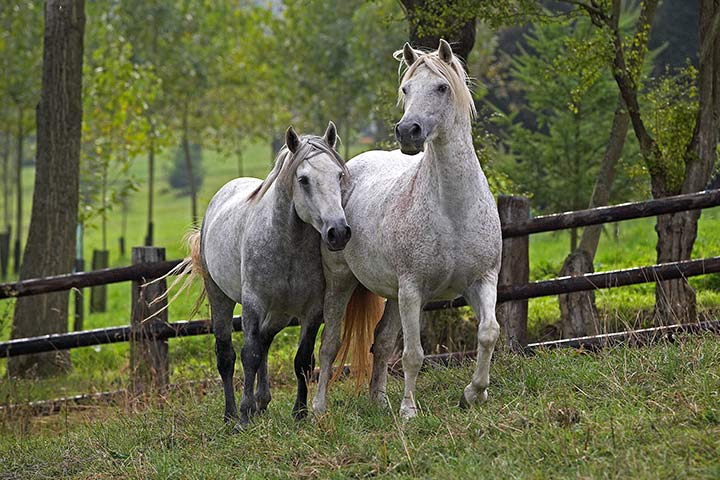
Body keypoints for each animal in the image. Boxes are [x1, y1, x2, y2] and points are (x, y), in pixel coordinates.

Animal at [316, 39, 500, 418]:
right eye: (406, 89)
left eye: (442, 87)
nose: (407, 131)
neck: (454, 211)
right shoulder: (413, 290)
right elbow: (414, 355)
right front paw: (409, 411)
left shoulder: (482, 280)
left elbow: (489, 332)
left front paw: (474, 393)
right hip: (342, 282)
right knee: (329, 345)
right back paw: (318, 409)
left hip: (391, 294)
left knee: (382, 342)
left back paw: (378, 400)